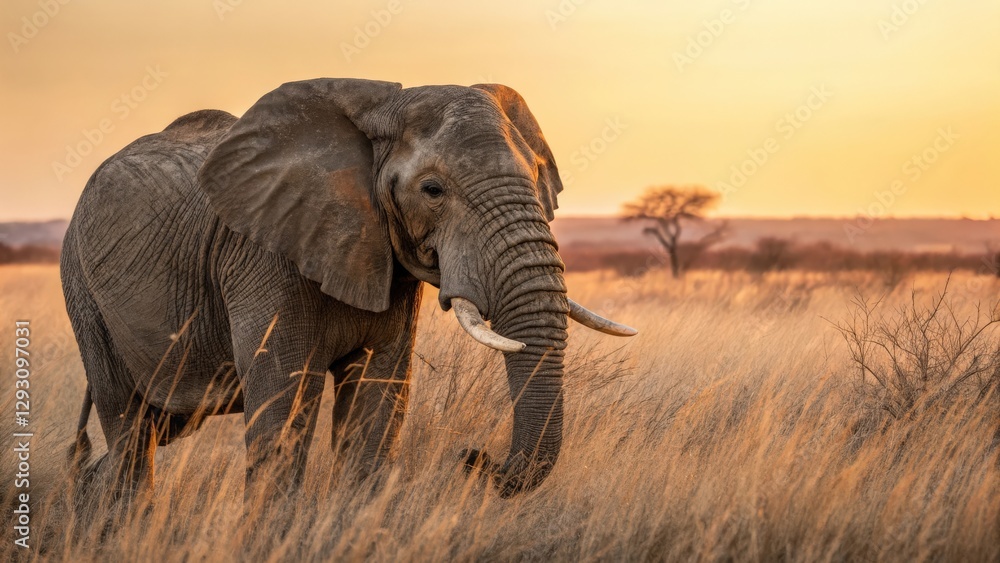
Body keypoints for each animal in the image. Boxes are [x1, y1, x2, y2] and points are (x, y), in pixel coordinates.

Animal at [61, 78, 636, 508]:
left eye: (539, 178)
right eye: (432, 190)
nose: (472, 456)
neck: (380, 109)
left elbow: (378, 397)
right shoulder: (263, 253)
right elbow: (285, 395)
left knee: (154, 427)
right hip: (83, 290)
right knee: (130, 430)